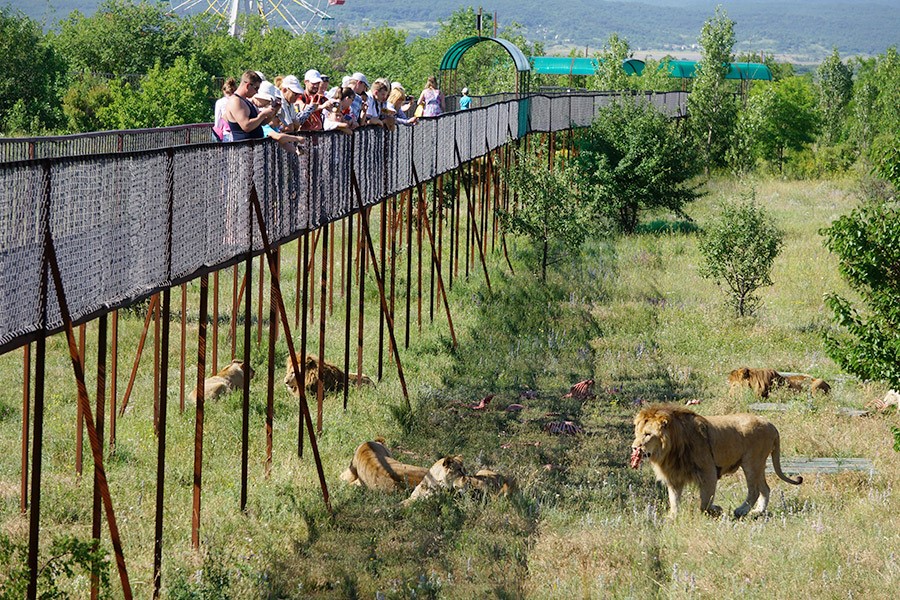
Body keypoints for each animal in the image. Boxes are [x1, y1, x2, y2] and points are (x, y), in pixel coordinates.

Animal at [628, 406, 804, 516]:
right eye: (637, 433)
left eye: (648, 434)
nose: (634, 447)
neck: (670, 450)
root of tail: (771, 425)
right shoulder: (674, 477)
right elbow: (674, 500)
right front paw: (672, 517)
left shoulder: (708, 472)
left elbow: (705, 502)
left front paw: (716, 509)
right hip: (758, 465)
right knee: (765, 489)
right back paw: (758, 511)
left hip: (751, 463)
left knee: (754, 490)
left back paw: (741, 511)